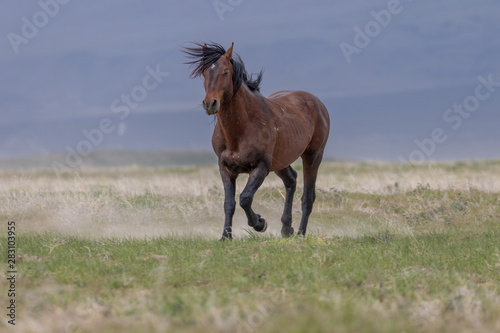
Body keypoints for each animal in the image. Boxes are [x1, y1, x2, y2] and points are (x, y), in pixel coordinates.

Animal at [186, 42, 330, 239]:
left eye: (225, 72)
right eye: (205, 73)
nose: (210, 104)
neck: (241, 129)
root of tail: (317, 103)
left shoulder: (261, 167)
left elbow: (245, 198)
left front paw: (259, 223)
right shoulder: (225, 168)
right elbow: (229, 203)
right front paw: (225, 236)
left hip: (312, 157)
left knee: (308, 197)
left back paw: (300, 233)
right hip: (280, 161)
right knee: (291, 180)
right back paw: (287, 228)